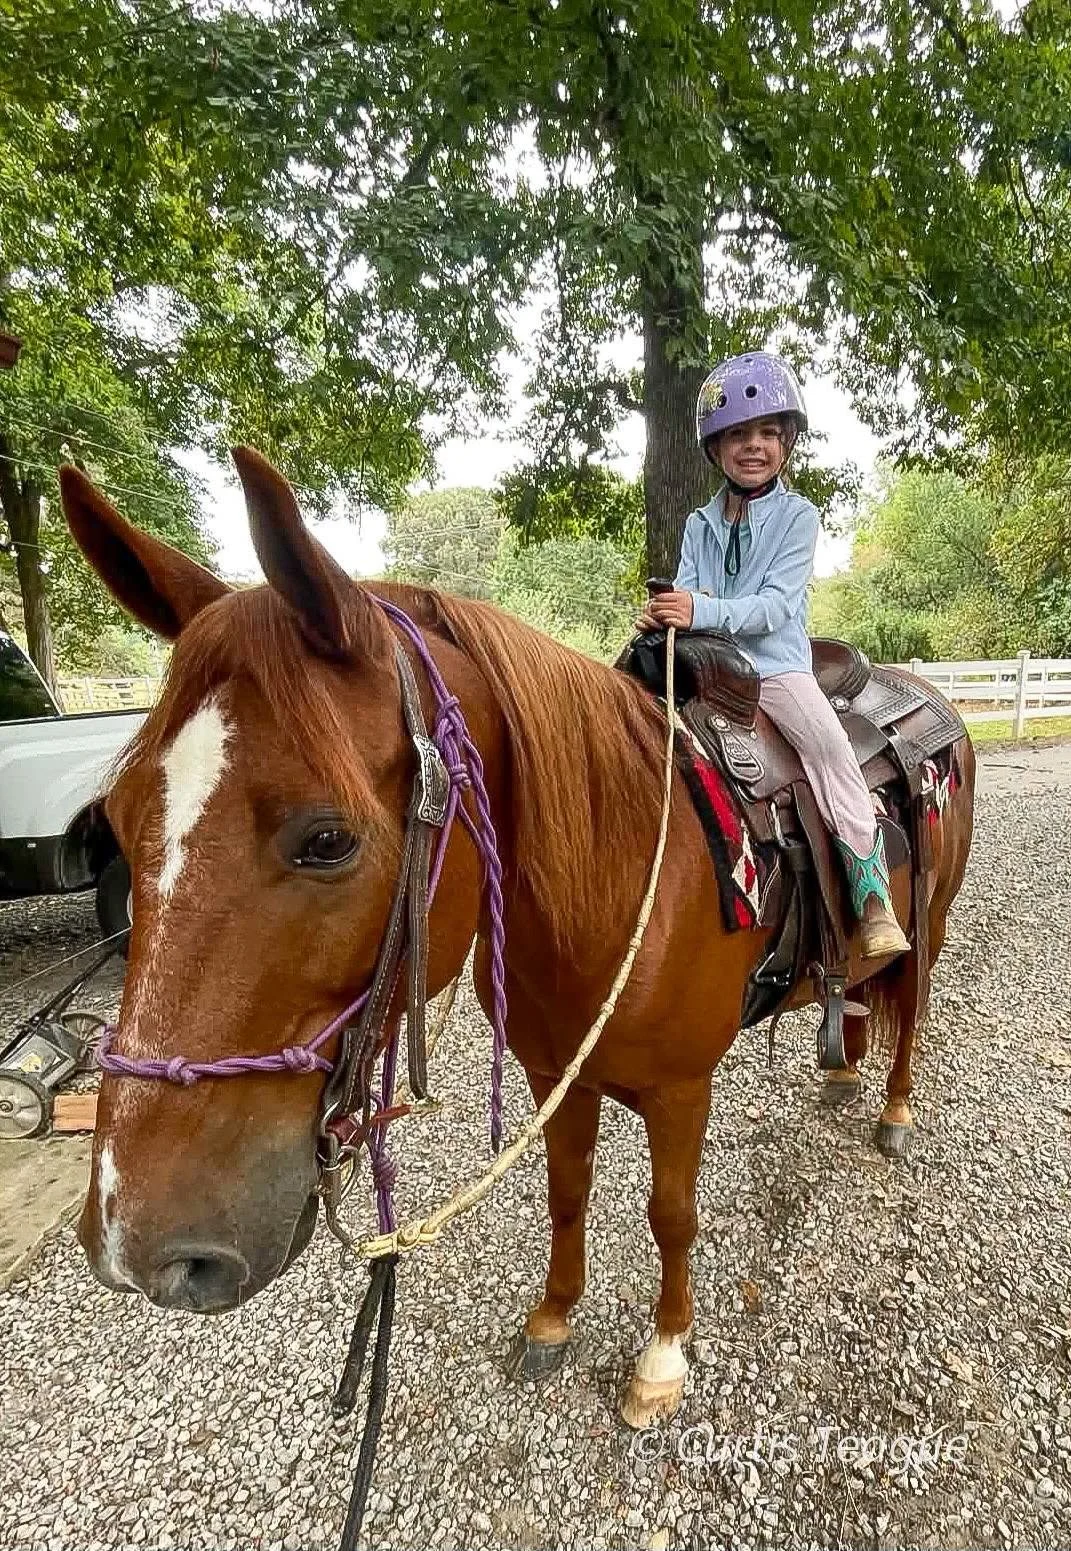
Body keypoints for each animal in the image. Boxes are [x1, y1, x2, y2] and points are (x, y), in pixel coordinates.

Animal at [59, 447, 975, 1430]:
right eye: (117, 823)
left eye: (328, 839)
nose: (136, 1242)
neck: (621, 884)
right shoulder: (554, 1076)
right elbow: (565, 1195)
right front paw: (552, 1318)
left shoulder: (681, 1091)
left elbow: (671, 1213)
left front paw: (662, 1353)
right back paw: (840, 1067)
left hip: (931, 924)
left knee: (912, 1011)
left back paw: (893, 1110)